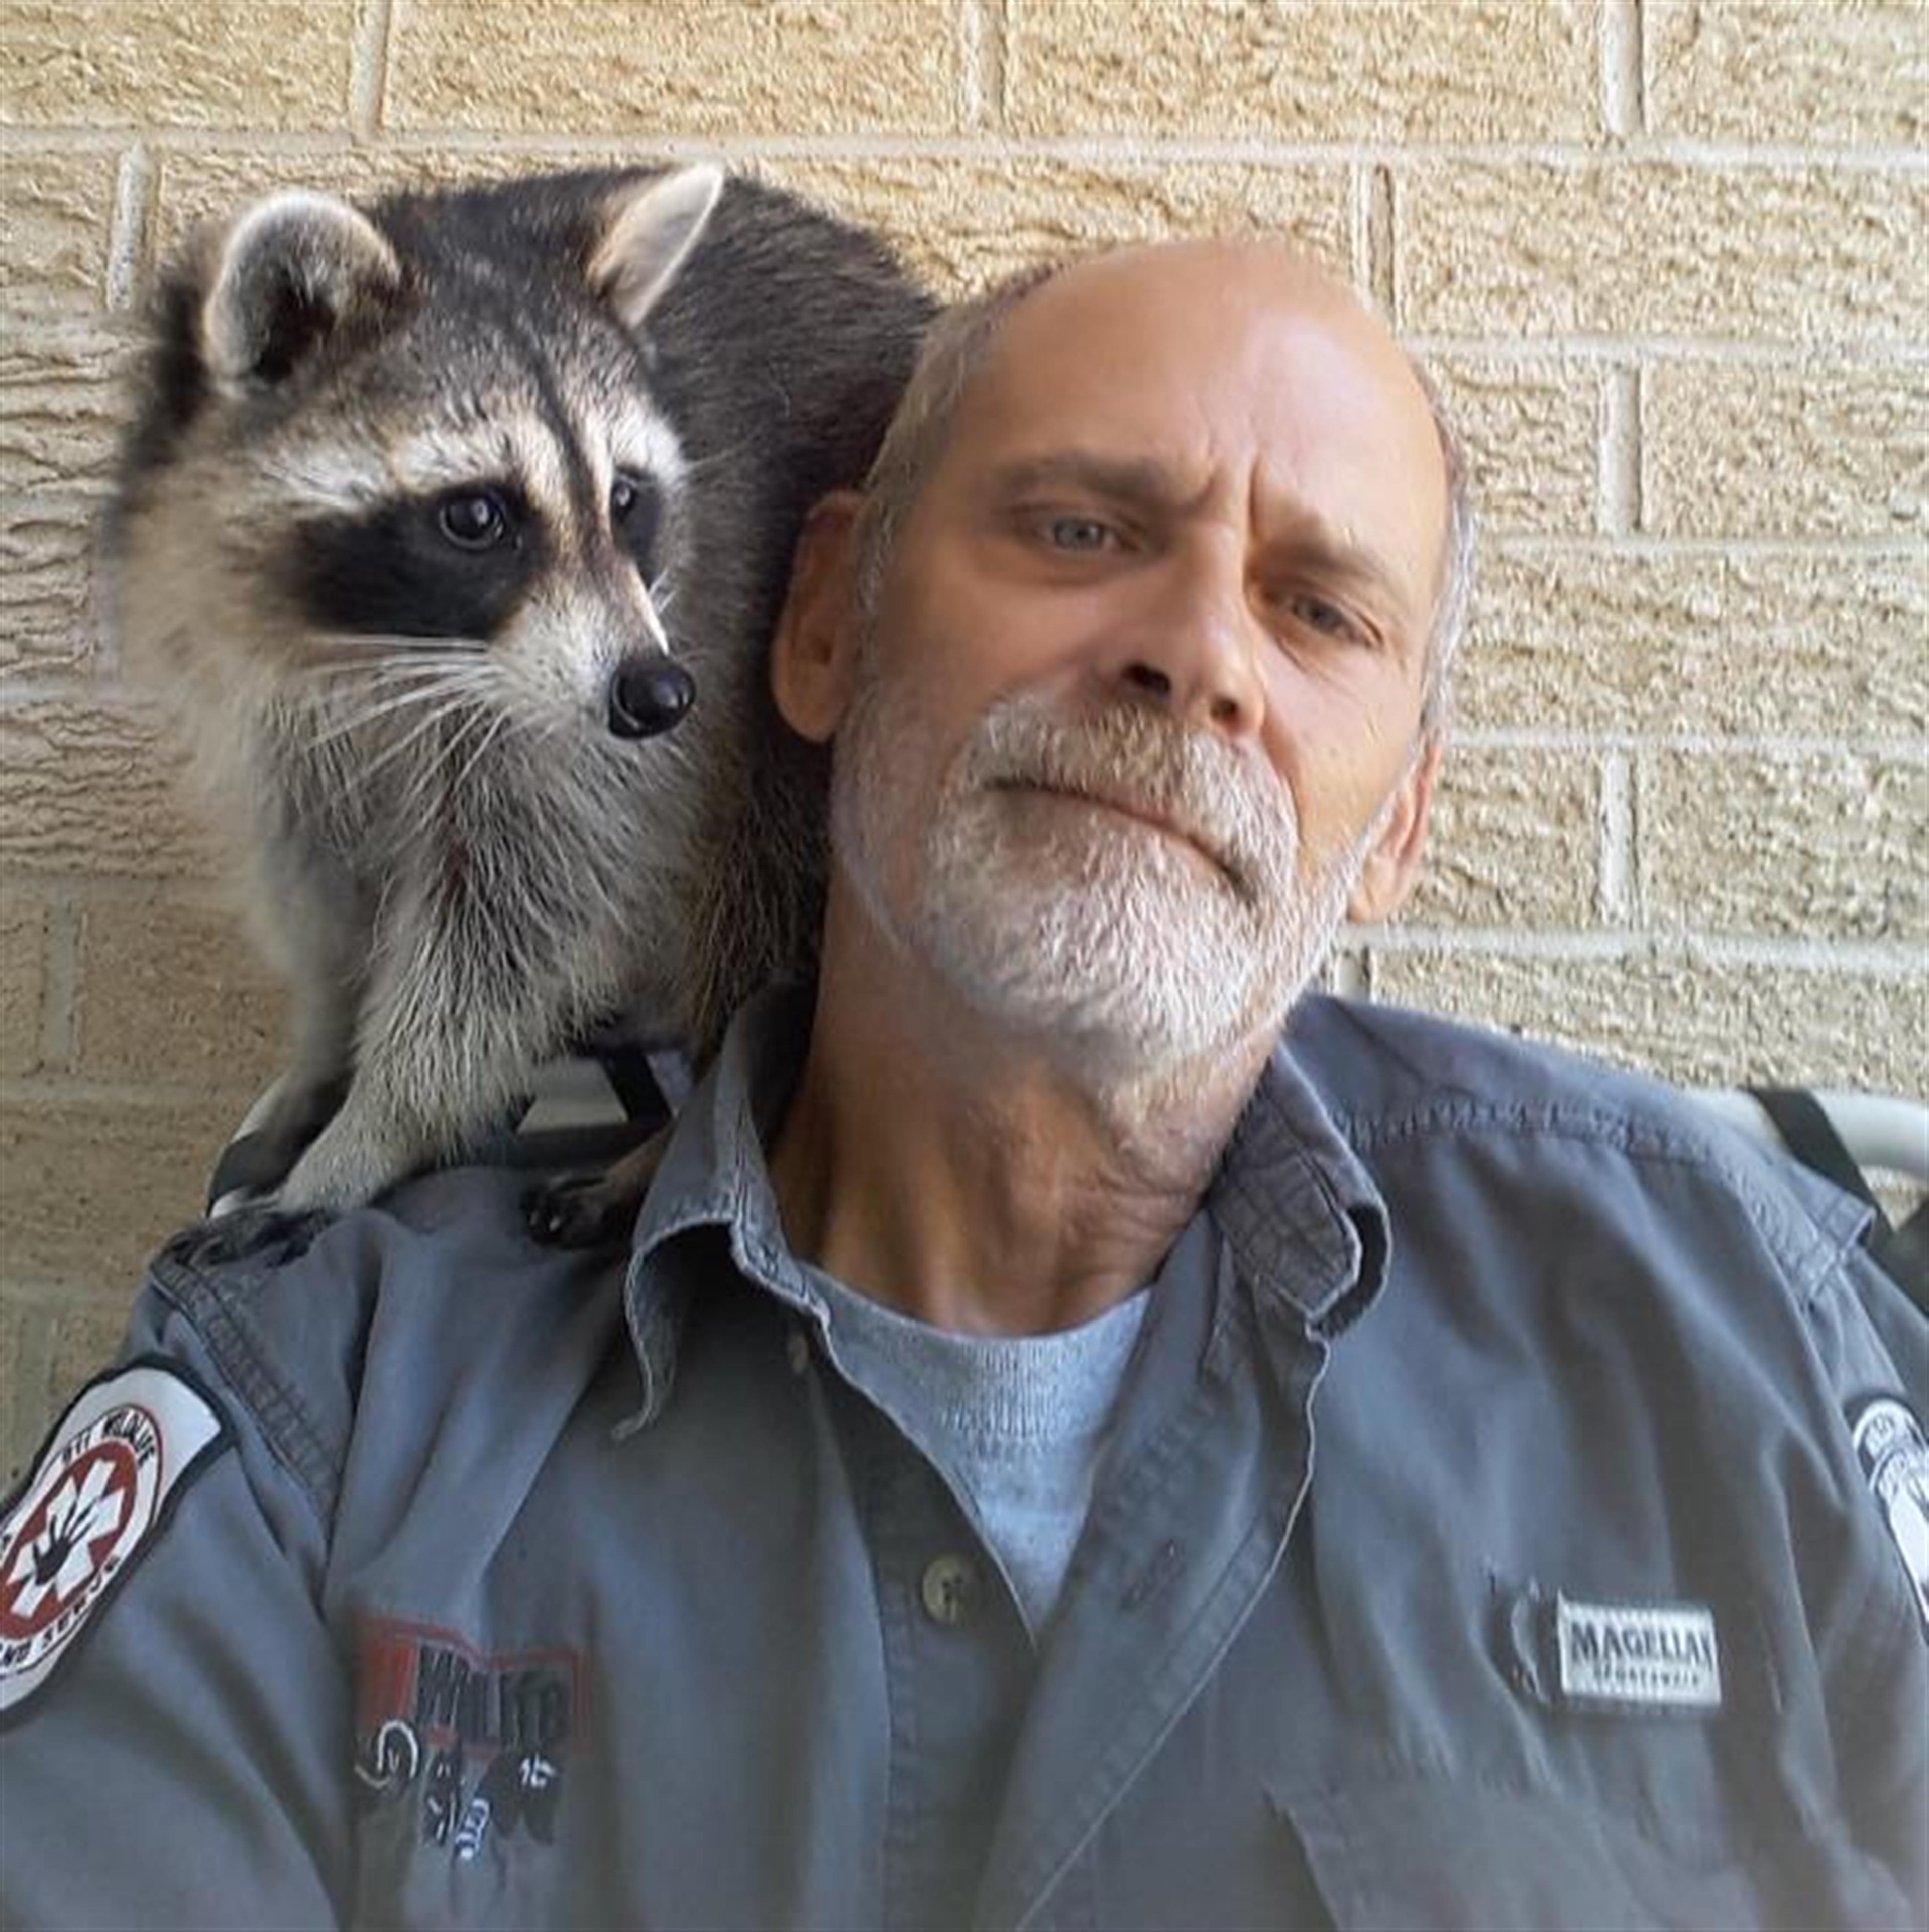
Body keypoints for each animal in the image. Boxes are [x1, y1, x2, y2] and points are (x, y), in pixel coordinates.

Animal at [109, 163, 933, 1217]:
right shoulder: (265, 700)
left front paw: (373, 1132)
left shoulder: (616, 705)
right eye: (477, 516)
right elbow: (320, 880)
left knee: (765, 875)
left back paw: (673, 1129)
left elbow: (512, 922)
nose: (658, 694)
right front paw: (326, 1046)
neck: (384, 649)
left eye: (625, 498)